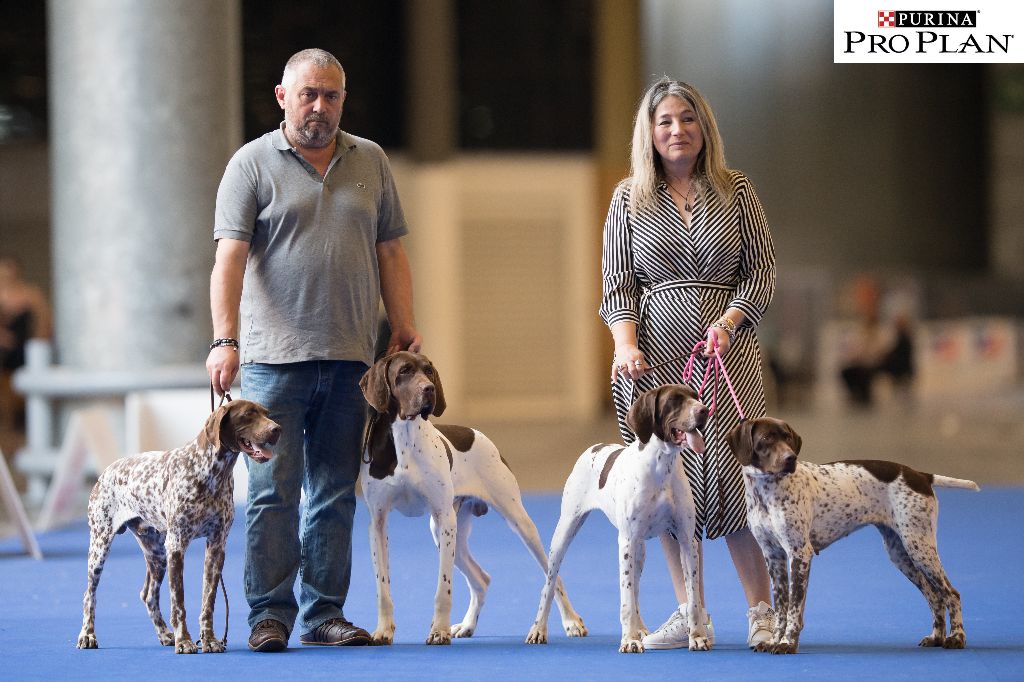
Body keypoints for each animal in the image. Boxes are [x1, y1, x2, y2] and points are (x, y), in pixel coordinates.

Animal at [76, 399, 280, 655]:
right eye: (248, 415)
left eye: (266, 413)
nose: (277, 429)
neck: (212, 472)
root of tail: (106, 472)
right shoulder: (177, 545)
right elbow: (179, 603)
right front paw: (184, 641)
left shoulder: (216, 547)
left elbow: (208, 602)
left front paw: (209, 640)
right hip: (100, 546)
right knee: (89, 595)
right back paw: (87, 635)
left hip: (157, 554)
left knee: (148, 595)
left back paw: (165, 634)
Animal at [360, 350, 589, 643]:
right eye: (404, 372)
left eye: (429, 371)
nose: (429, 389)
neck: (404, 438)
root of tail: (476, 432)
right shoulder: (378, 523)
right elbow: (383, 589)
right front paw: (383, 630)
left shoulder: (444, 518)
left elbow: (443, 589)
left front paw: (439, 630)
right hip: (448, 533)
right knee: (482, 580)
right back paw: (467, 625)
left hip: (514, 523)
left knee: (553, 575)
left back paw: (571, 621)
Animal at [524, 385, 708, 651]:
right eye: (674, 400)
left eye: (695, 396)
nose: (704, 411)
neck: (661, 465)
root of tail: (594, 447)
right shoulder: (626, 542)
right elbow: (626, 601)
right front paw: (629, 641)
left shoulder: (686, 540)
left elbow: (693, 598)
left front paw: (697, 637)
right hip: (564, 534)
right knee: (549, 586)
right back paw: (539, 629)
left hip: (639, 550)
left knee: (636, 590)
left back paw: (641, 629)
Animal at [724, 417, 978, 651]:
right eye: (766, 438)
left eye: (787, 438)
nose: (790, 459)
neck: (765, 491)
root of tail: (920, 475)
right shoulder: (773, 556)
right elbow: (781, 608)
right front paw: (774, 640)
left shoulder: (799, 553)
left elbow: (794, 608)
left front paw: (787, 643)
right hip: (901, 554)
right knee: (934, 596)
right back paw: (936, 637)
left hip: (920, 547)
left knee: (951, 594)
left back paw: (956, 638)